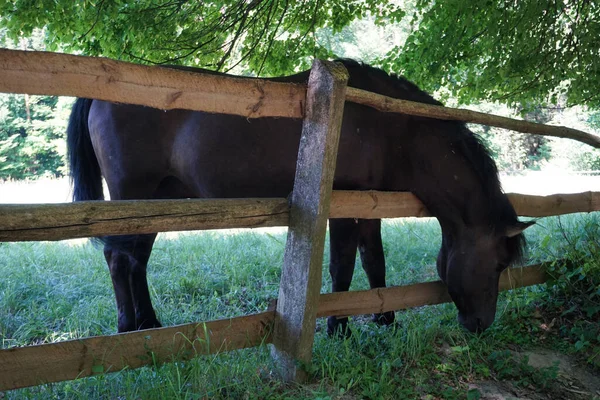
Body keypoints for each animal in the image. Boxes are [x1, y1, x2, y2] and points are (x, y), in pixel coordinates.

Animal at [67, 59, 536, 334]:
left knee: (136, 261)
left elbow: (374, 260)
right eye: (498, 264)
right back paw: (128, 327)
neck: (394, 127)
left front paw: (385, 317)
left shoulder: (371, 204)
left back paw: (149, 323)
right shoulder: (343, 205)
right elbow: (343, 266)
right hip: (132, 194)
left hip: (158, 201)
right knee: (119, 259)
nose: (481, 325)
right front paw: (339, 328)